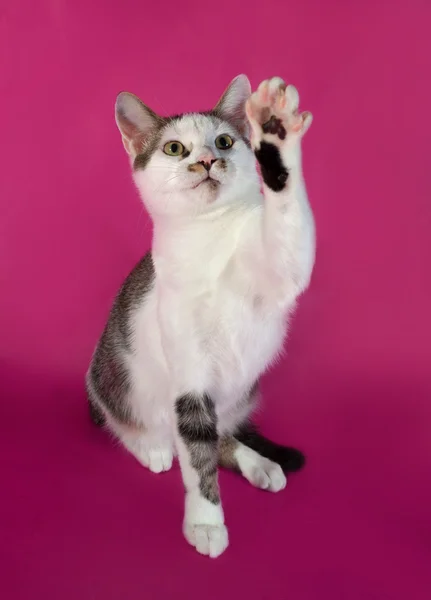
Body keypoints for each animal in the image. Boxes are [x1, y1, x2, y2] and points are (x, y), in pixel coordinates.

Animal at [88, 75, 316, 556]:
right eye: (175, 149)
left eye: (225, 141)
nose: (208, 160)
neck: (208, 236)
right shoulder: (190, 374)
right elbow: (196, 453)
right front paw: (206, 522)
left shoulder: (281, 271)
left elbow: (289, 241)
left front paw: (276, 134)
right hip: (109, 377)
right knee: (137, 423)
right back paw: (151, 446)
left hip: (244, 390)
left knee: (222, 431)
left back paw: (258, 462)